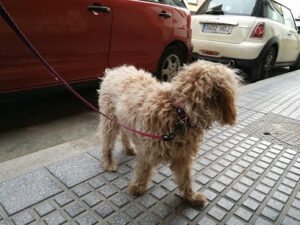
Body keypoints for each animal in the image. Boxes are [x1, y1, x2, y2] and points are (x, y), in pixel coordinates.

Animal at [98, 59, 241, 206]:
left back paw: (129, 148)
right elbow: (143, 170)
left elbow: (186, 178)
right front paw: (137, 187)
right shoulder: (147, 151)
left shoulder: (183, 156)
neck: (180, 114)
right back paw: (109, 162)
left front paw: (191, 197)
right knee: (107, 142)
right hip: (109, 118)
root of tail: (115, 70)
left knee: (124, 133)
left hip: (123, 119)